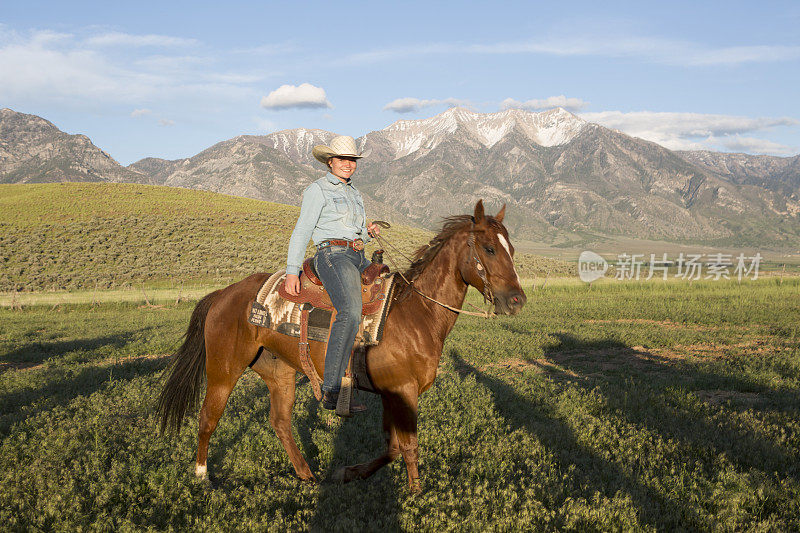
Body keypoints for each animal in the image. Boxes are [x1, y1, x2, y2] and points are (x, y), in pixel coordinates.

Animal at [159, 200, 528, 490]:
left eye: (511, 249)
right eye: (490, 249)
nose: (517, 301)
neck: (415, 314)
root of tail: (223, 293)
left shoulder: (391, 393)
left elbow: (393, 447)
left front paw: (349, 472)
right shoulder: (403, 391)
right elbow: (408, 446)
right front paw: (415, 493)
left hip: (280, 372)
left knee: (280, 422)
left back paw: (306, 474)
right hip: (224, 370)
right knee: (208, 417)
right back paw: (203, 476)